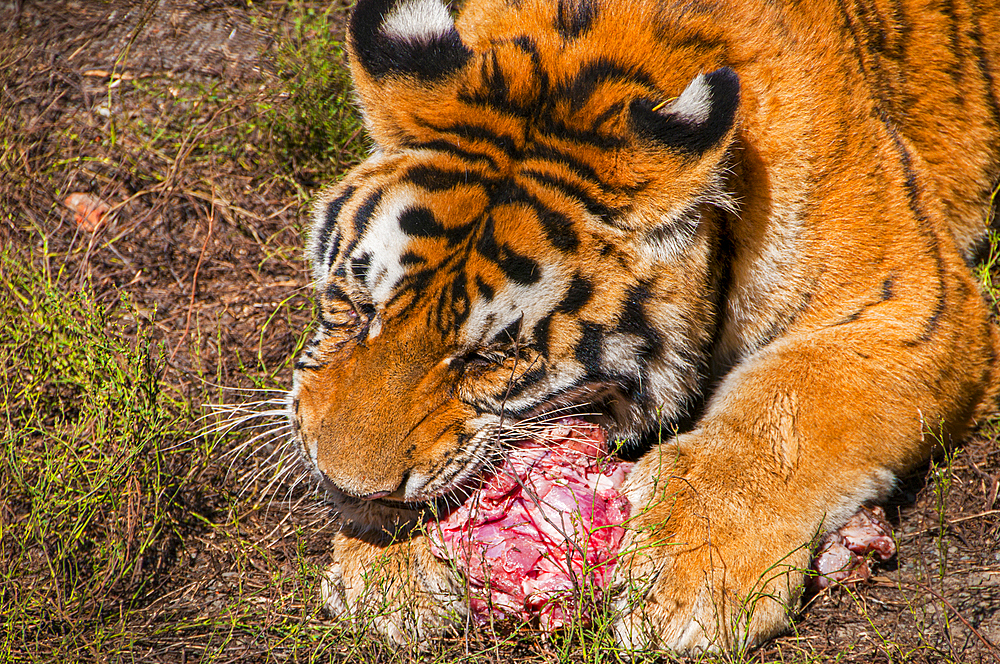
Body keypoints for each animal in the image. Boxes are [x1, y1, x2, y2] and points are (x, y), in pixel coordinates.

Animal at [288, 0, 1000, 652]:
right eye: (359, 308)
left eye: (492, 357)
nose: (344, 482)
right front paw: (382, 565)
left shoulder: (913, 304)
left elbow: (788, 407)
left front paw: (689, 572)